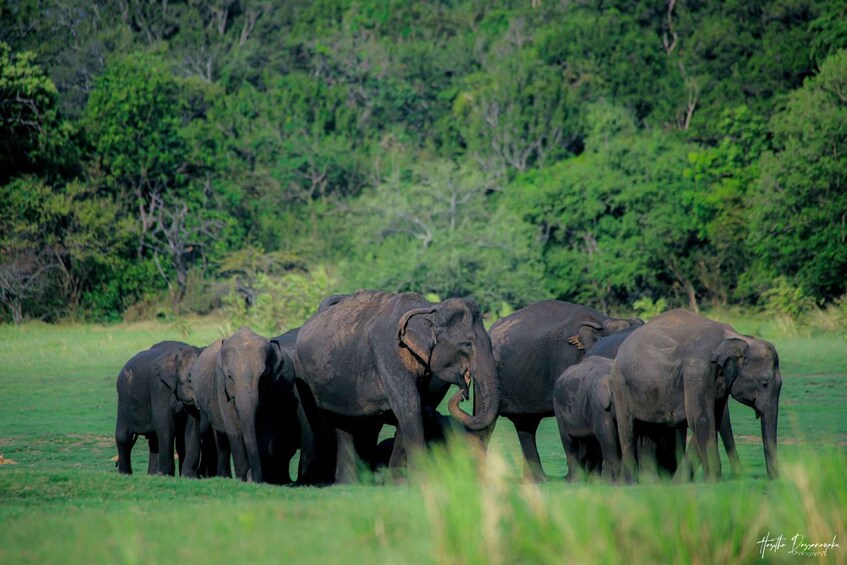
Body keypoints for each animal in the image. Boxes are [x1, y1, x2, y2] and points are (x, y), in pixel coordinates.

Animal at [115, 341, 203, 476]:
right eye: (190, 379)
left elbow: (192, 427)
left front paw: (188, 477)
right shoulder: (159, 387)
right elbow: (166, 425)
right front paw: (166, 475)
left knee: (154, 440)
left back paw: (152, 475)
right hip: (123, 399)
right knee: (124, 437)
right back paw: (125, 474)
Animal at [294, 290, 500, 483]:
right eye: (467, 344)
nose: (464, 390)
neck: (429, 308)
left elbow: (416, 408)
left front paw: (398, 482)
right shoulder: (388, 353)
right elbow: (409, 405)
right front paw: (419, 482)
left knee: (347, 424)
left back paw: (349, 483)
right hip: (302, 373)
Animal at [611, 309, 782, 482]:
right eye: (764, 383)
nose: (774, 479)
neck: (737, 338)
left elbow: (712, 418)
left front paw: (679, 482)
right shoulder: (698, 370)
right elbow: (702, 419)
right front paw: (713, 481)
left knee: (650, 432)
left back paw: (651, 482)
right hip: (620, 387)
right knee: (628, 432)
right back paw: (632, 482)